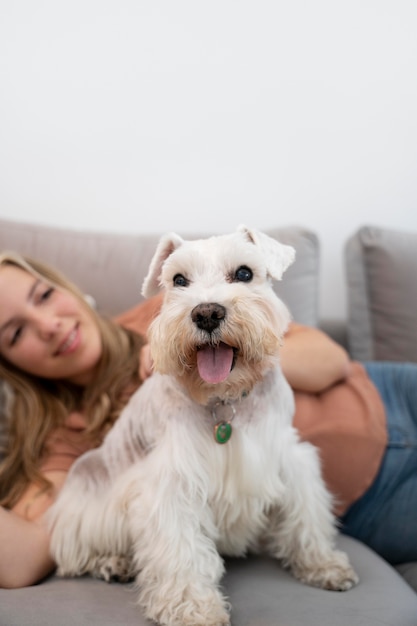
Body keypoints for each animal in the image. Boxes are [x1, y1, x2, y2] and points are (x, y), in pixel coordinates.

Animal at [47, 225, 356, 624]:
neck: (224, 399)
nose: (207, 313)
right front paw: (193, 609)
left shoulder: (289, 459)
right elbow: (181, 553)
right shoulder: (172, 487)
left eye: (244, 273)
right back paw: (113, 563)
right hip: (86, 503)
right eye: (179, 280)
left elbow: (306, 515)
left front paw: (322, 564)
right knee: (77, 555)